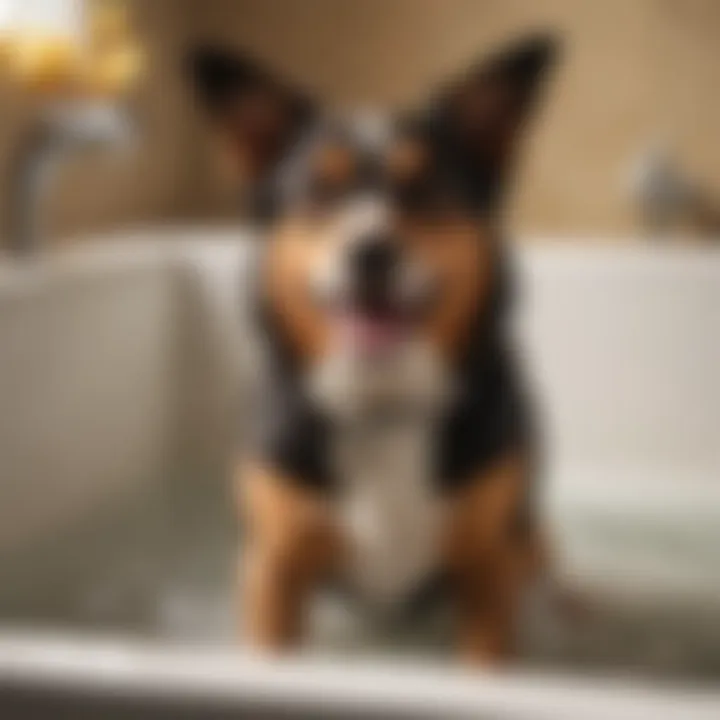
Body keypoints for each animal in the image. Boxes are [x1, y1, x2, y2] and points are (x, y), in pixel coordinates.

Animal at [186, 32, 564, 664]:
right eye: (318, 191)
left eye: (426, 188)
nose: (370, 251)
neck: (380, 402)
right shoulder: (274, 566)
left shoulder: (488, 567)